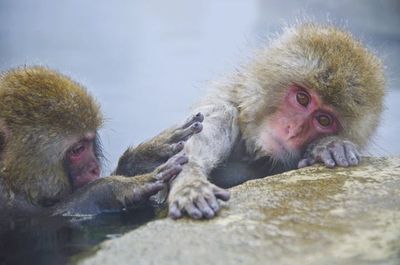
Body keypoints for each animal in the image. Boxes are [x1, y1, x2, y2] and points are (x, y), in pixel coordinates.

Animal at [0, 66, 203, 217]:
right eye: (77, 149)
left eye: (90, 142)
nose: (94, 168)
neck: (13, 179)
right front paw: (116, 187)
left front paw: (147, 157)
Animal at [168, 23, 384, 219]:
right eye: (302, 98)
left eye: (324, 119)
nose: (293, 130)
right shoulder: (226, 100)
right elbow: (216, 119)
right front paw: (190, 182)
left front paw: (329, 146)